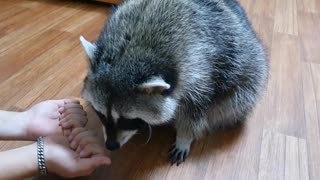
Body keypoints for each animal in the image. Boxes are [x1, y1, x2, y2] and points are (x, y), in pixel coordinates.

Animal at [79, 0, 268, 165]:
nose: (111, 145)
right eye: (101, 114)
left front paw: (184, 137)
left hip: (248, 76)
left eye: (127, 119)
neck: (129, 51)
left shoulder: (199, 67)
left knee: (234, 102)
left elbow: (194, 108)